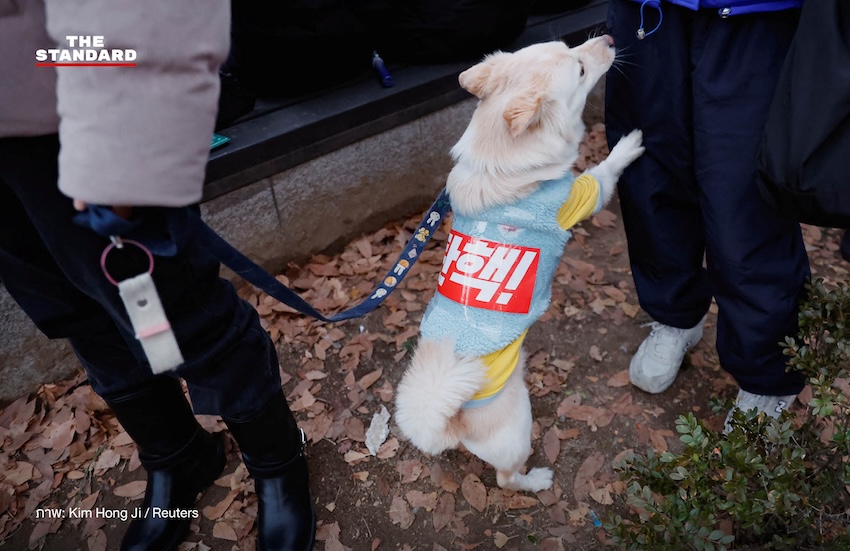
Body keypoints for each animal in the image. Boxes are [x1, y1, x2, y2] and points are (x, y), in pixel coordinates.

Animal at [392, 36, 644, 494]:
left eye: (571, 45)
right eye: (581, 70)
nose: (610, 39)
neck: (497, 161)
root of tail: (449, 423)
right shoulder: (583, 196)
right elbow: (605, 169)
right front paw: (627, 145)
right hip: (519, 429)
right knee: (508, 480)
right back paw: (538, 480)